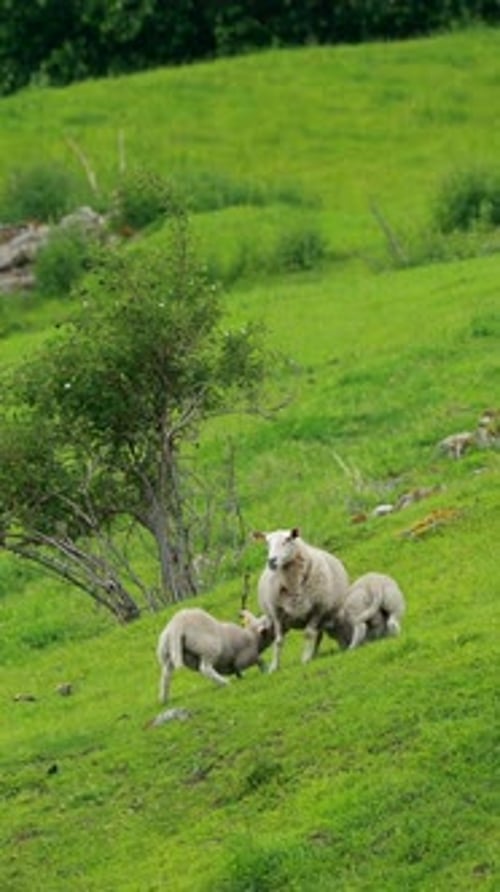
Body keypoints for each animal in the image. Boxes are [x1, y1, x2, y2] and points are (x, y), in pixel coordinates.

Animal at [253, 527, 349, 671]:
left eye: (287, 539)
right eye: (267, 542)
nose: (271, 561)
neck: (293, 584)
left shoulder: (318, 609)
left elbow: (309, 634)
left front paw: (305, 659)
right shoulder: (276, 613)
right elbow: (278, 641)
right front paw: (274, 667)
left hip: (325, 615)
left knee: (317, 634)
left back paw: (315, 653)